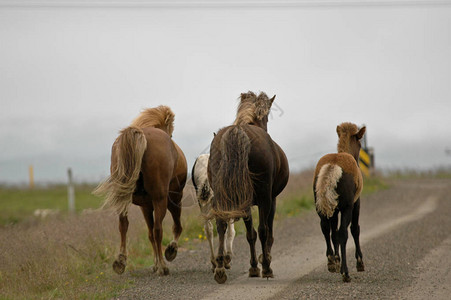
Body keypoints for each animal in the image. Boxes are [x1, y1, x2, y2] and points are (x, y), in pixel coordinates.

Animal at [93, 105, 187, 276]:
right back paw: (163, 266)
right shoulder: (174, 199)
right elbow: (175, 227)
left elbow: (149, 234)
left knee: (123, 225)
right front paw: (170, 251)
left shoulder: (145, 206)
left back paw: (121, 261)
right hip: (162, 200)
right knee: (158, 230)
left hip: (125, 200)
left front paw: (155, 263)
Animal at [208, 91, 290, 284]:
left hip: (224, 196)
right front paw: (264, 262)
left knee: (222, 224)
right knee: (263, 231)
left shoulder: (244, 201)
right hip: (264, 197)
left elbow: (249, 233)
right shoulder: (270, 199)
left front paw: (253, 267)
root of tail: (238, 132)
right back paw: (266, 267)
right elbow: (266, 231)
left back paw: (220, 268)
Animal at [314, 122, 368, 282]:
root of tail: (333, 165)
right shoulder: (356, 203)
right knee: (344, 232)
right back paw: (345, 272)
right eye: (359, 143)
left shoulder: (333, 209)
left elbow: (333, 233)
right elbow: (354, 229)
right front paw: (359, 262)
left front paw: (336, 260)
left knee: (325, 228)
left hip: (321, 206)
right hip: (346, 207)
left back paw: (331, 262)